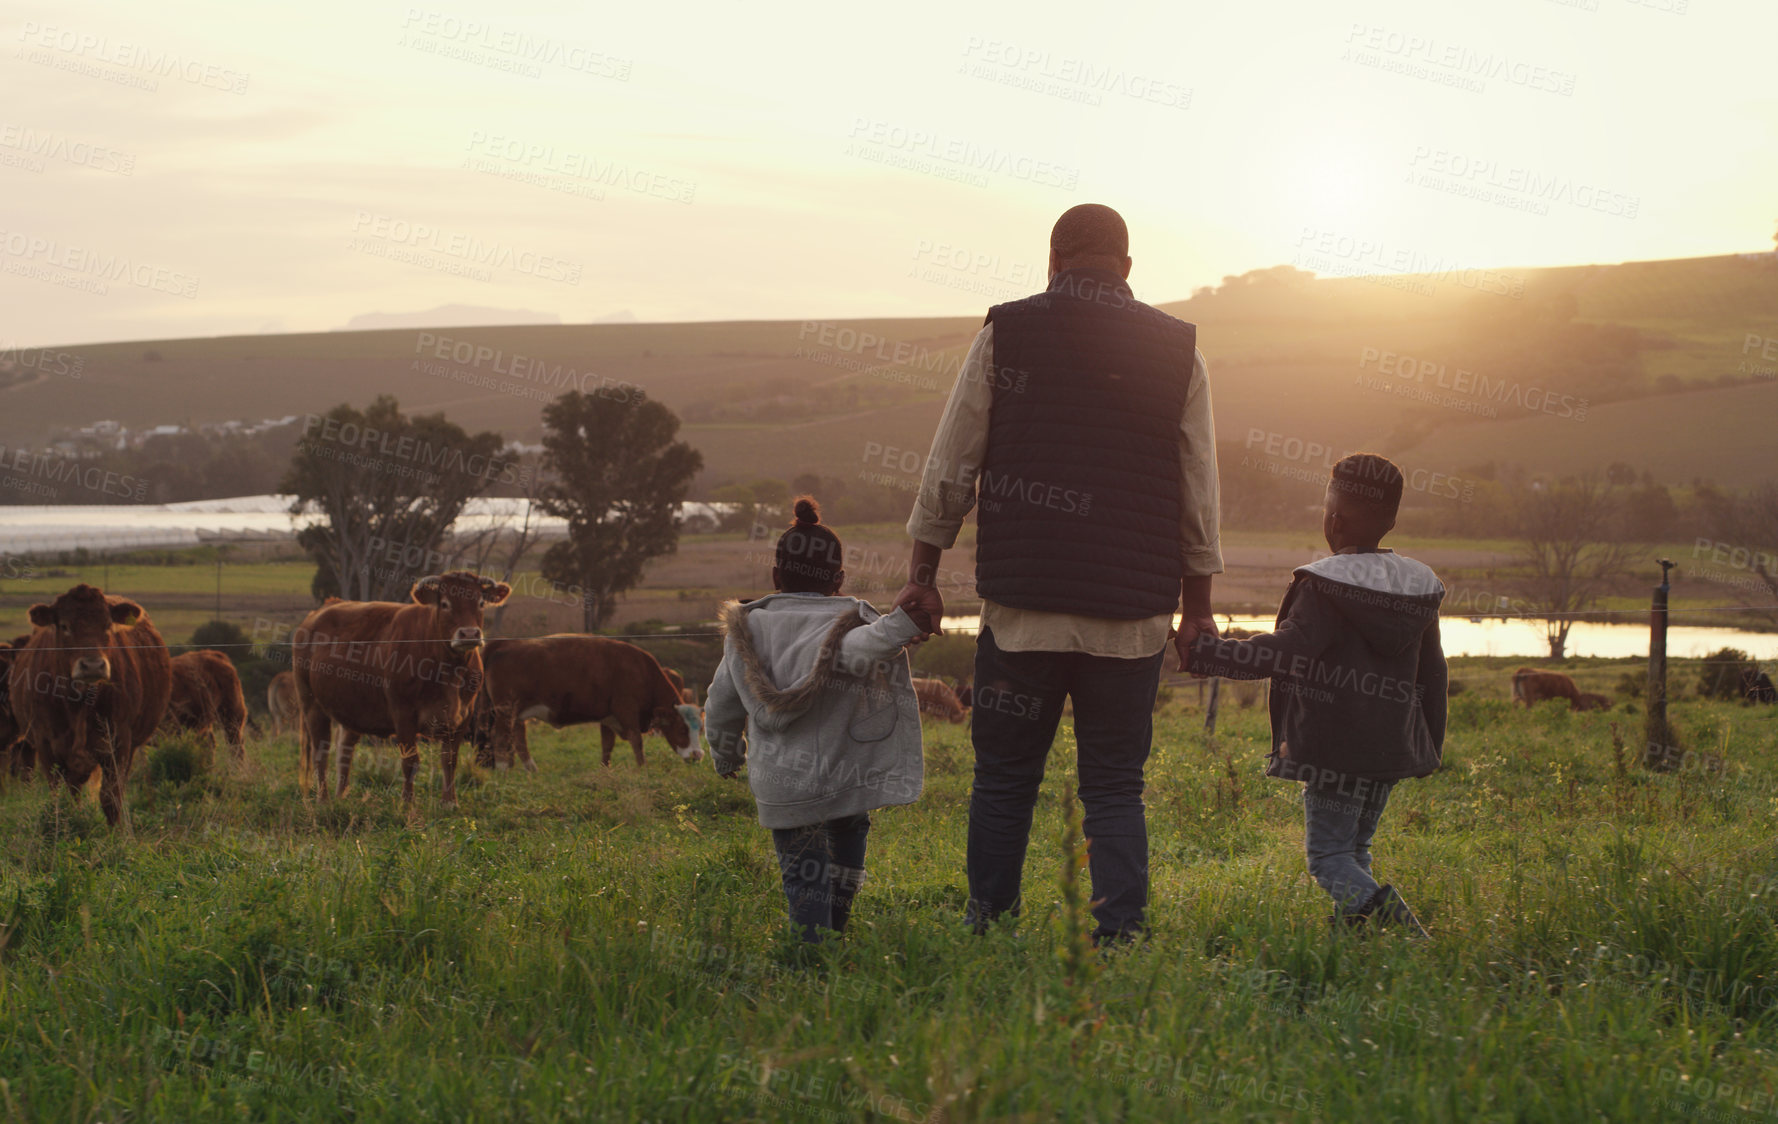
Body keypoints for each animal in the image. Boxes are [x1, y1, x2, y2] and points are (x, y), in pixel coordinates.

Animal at [8, 586, 173, 825]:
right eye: (65, 625)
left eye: (107, 625)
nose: (93, 665)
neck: (78, 703)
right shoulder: (45, 744)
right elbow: (59, 799)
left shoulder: (119, 743)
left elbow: (111, 799)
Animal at [288, 569, 504, 807]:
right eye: (445, 604)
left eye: (481, 603)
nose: (469, 634)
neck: (448, 670)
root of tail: (323, 609)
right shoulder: (403, 714)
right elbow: (410, 762)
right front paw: (408, 804)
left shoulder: (462, 716)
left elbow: (449, 760)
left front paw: (449, 803)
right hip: (311, 704)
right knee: (321, 751)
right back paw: (324, 799)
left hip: (351, 708)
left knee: (344, 750)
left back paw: (341, 796)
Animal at [480, 636, 700, 775]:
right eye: (682, 729)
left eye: (700, 729)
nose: (698, 756)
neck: (641, 671)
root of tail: (503, 643)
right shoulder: (627, 710)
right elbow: (637, 741)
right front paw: (642, 767)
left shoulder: (608, 716)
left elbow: (607, 745)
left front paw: (605, 769)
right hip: (506, 710)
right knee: (500, 736)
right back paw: (503, 769)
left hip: (516, 714)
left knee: (518, 740)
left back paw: (531, 769)